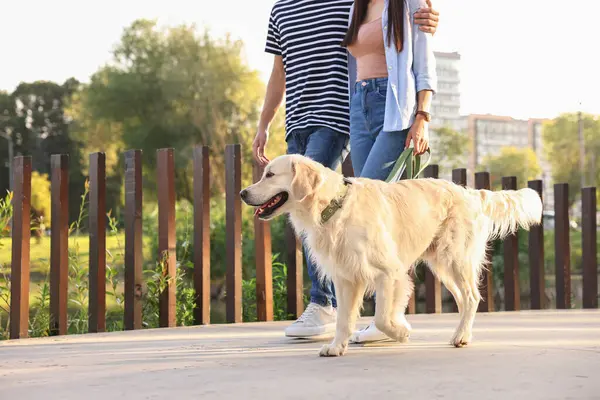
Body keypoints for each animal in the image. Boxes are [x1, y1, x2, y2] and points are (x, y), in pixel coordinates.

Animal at [239, 153, 544, 356]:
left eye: (270, 175)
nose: (243, 192)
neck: (334, 207)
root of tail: (469, 193)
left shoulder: (389, 272)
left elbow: (383, 317)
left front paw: (399, 331)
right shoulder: (346, 277)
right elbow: (343, 319)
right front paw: (336, 346)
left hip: (454, 258)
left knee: (472, 297)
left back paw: (460, 336)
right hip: (442, 265)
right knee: (465, 299)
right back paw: (462, 333)